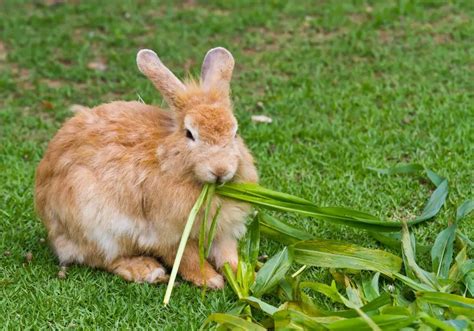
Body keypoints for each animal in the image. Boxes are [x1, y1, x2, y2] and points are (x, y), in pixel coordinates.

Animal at [35, 48, 260, 290]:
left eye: (235, 132)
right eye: (189, 134)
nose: (220, 170)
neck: (169, 163)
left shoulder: (222, 232)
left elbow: (228, 256)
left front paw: (246, 277)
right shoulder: (167, 234)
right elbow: (186, 258)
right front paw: (211, 280)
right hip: (93, 222)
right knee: (102, 258)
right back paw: (145, 270)